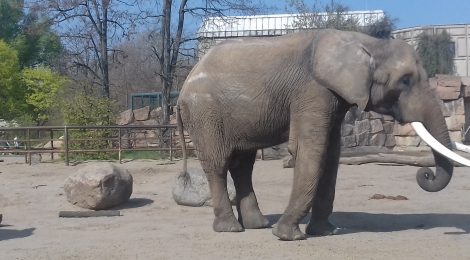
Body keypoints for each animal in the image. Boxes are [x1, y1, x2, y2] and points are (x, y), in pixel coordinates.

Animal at [175, 27, 462, 240]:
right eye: (405, 80)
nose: (425, 174)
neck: (366, 42)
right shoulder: (313, 90)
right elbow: (311, 149)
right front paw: (288, 236)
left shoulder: (333, 97)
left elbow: (331, 152)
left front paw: (325, 232)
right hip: (205, 113)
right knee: (219, 163)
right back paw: (231, 229)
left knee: (244, 165)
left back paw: (259, 225)